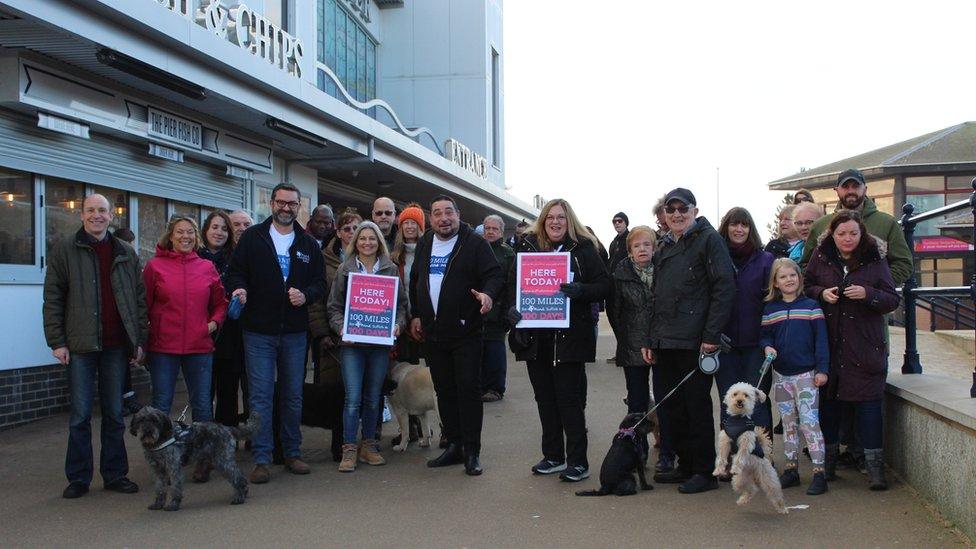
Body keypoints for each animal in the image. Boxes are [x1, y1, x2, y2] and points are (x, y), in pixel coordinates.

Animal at [130, 406, 260, 510]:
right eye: (141, 420)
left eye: (154, 420)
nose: (147, 431)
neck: (159, 441)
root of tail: (226, 428)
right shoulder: (157, 471)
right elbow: (159, 488)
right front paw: (158, 504)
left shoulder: (174, 468)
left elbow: (176, 488)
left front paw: (174, 504)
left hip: (223, 462)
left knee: (238, 478)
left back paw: (239, 497)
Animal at [712, 382, 788, 512]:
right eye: (735, 394)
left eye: (746, 395)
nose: (739, 401)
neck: (737, 420)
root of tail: (751, 471)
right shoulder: (724, 441)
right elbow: (721, 458)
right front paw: (718, 470)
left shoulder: (745, 442)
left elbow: (740, 457)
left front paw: (735, 467)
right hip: (739, 480)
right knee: (751, 489)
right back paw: (742, 500)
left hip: (767, 478)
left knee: (775, 493)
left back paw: (782, 508)